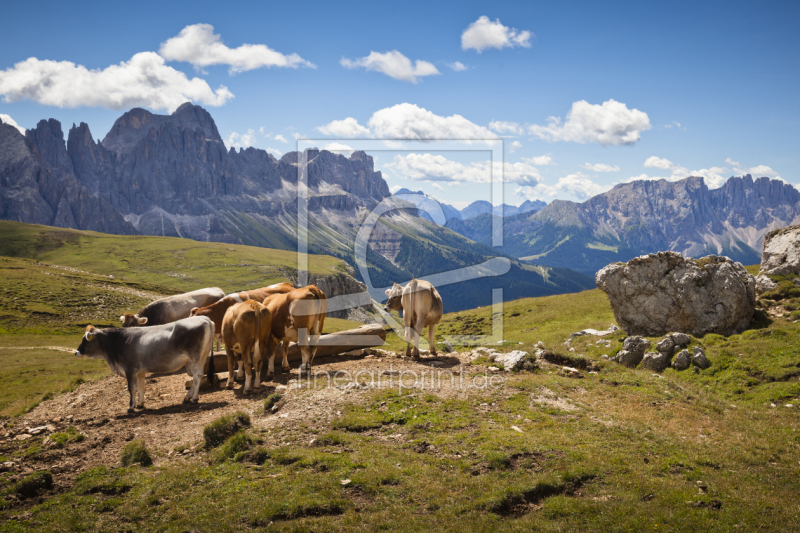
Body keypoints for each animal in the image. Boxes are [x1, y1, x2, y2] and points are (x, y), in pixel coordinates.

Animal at [72, 316, 214, 412]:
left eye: (86, 340)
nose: (76, 352)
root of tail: (204, 318)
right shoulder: (140, 372)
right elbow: (141, 387)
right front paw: (140, 404)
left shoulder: (129, 369)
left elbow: (131, 388)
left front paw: (131, 407)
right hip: (201, 358)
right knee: (199, 375)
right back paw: (187, 398)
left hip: (195, 359)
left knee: (196, 377)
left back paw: (194, 399)